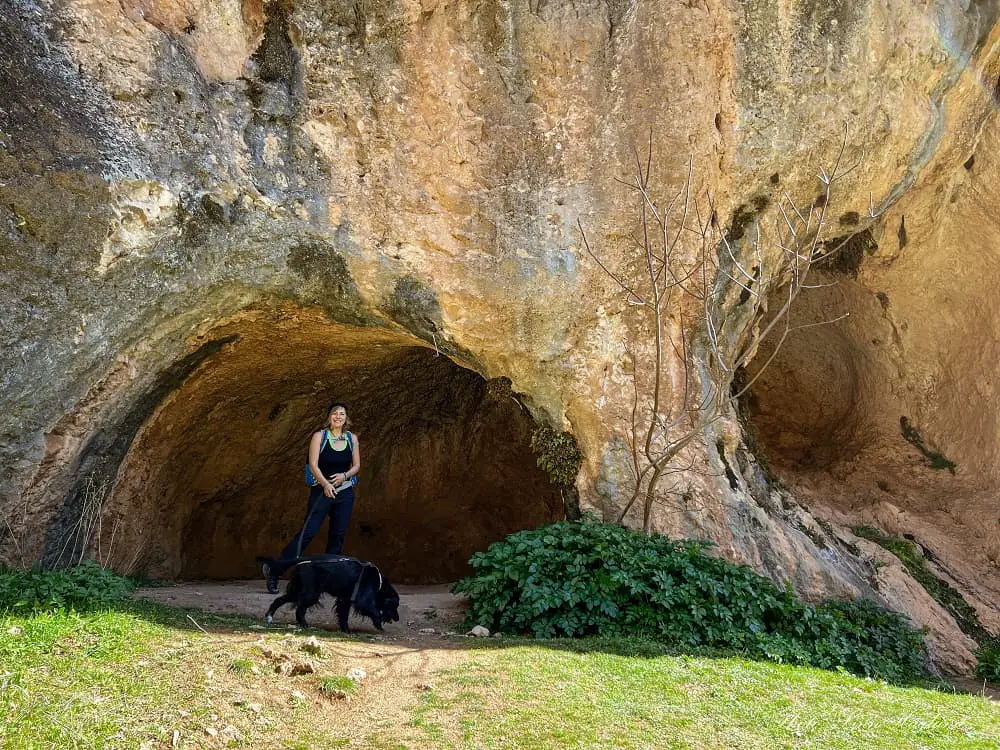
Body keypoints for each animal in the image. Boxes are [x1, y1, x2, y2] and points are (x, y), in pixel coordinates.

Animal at [256, 556, 400, 632]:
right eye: (395, 606)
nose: (398, 619)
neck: (379, 582)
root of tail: (303, 561)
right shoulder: (362, 599)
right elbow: (373, 610)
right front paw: (379, 625)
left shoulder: (344, 600)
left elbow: (343, 615)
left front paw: (346, 630)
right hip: (311, 594)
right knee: (300, 609)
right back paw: (304, 624)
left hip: (297, 591)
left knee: (279, 600)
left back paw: (270, 616)